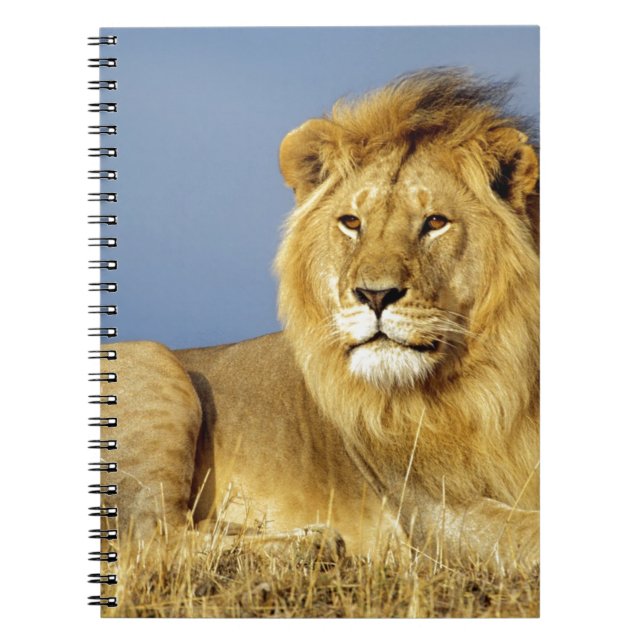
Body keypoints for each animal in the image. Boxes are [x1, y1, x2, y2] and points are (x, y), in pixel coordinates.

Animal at [101, 69, 539, 572]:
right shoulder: (434, 513)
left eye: (435, 222)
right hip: (152, 363)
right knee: (147, 540)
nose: (375, 294)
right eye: (351, 222)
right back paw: (310, 545)